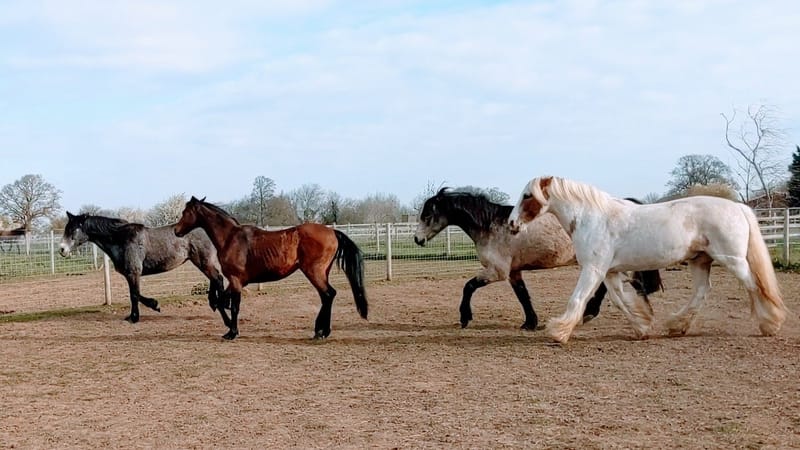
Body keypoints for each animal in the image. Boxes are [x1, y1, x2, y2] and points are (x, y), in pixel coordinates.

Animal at [60, 212, 226, 324]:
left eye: (73, 230)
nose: (62, 249)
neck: (120, 238)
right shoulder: (130, 274)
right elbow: (135, 294)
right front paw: (151, 306)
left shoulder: (133, 272)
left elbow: (134, 295)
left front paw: (137, 316)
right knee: (215, 279)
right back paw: (214, 303)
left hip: (203, 261)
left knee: (217, 278)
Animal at [174, 196, 368, 340]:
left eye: (185, 212)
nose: (176, 231)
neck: (230, 238)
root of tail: (332, 232)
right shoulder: (236, 282)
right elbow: (221, 302)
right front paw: (229, 328)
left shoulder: (235, 281)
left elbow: (234, 306)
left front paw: (232, 332)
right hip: (321, 273)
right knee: (326, 297)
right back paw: (320, 331)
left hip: (314, 272)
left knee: (328, 294)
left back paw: (321, 332)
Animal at [414, 188, 663, 330]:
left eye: (427, 214)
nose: (417, 239)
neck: (491, 225)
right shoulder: (513, 272)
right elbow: (523, 296)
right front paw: (530, 323)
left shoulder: (497, 271)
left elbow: (468, 287)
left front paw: (465, 318)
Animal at [509, 175, 787, 343]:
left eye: (527, 195)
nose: (511, 223)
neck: (592, 218)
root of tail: (739, 207)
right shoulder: (609, 272)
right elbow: (622, 301)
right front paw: (642, 328)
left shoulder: (593, 269)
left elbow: (578, 298)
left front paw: (559, 331)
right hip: (700, 261)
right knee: (702, 291)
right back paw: (677, 326)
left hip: (732, 259)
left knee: (755, 286)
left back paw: (770, 324)